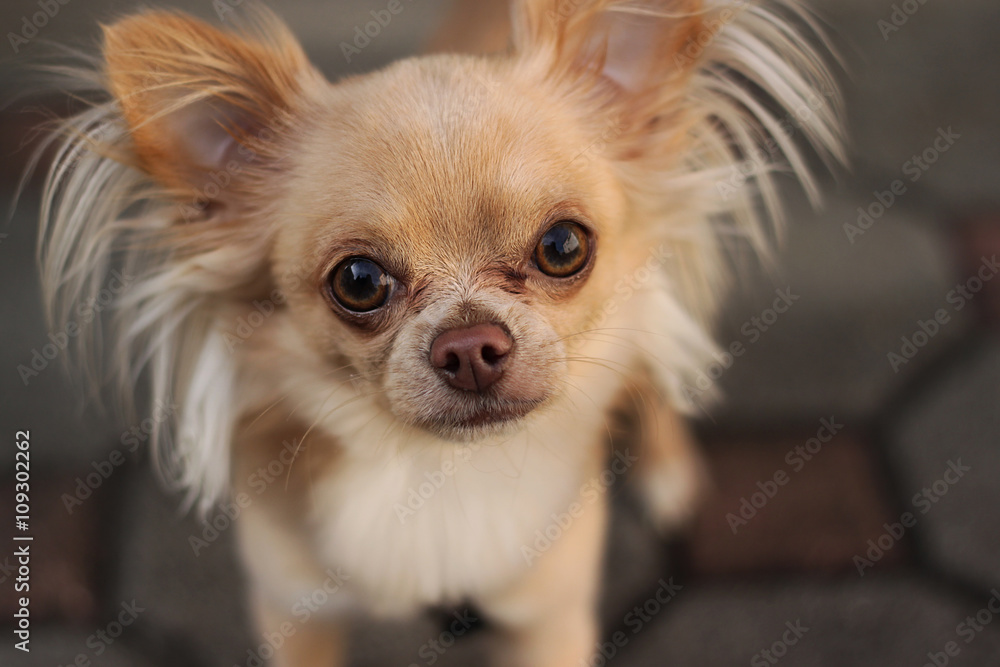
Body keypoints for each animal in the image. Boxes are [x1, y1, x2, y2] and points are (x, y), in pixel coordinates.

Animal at [33, 2, 844, 664]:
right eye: (358, 281)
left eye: (563, 245)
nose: (469, 345)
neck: (434, 473)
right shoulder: (292, 611)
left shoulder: (549, 618)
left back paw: (667, 469)